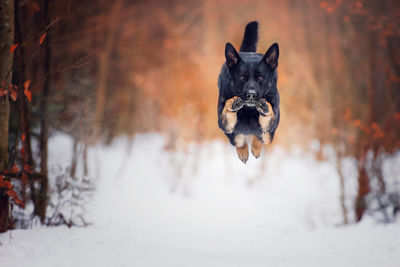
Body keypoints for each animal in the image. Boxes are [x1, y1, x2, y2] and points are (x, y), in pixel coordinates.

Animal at [217, 21, 280, 163]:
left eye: (260, 78)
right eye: (242, 77)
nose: (251, 95)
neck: (249, 110)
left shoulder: (271, 130)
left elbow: (263, 133)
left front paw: (265, 108)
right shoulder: (225, 126)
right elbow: (238, 137)